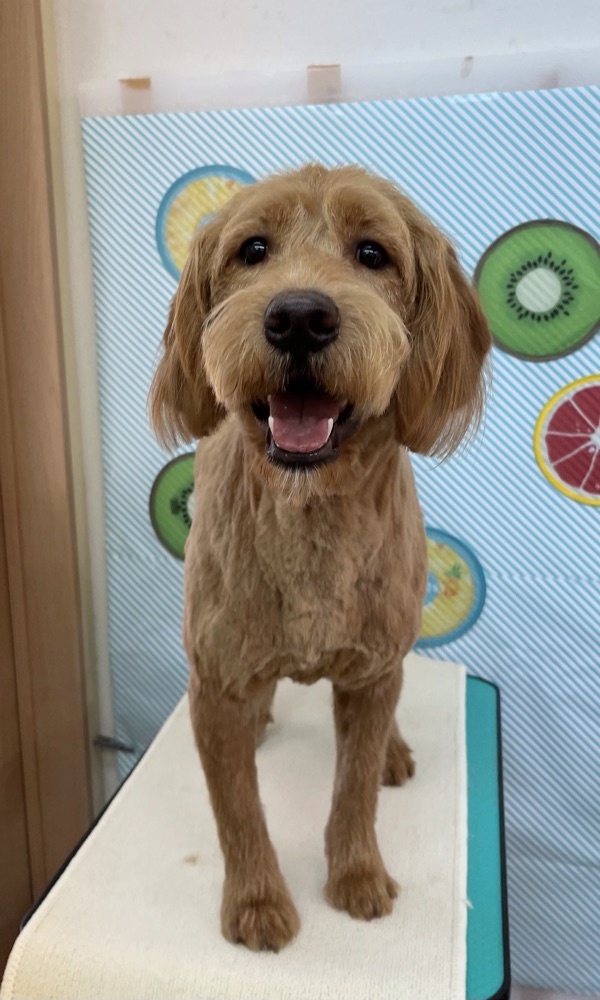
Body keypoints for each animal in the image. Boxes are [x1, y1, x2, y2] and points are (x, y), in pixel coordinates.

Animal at [150, 163, 490, 952]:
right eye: (252, 249)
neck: (310, 516)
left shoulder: (370, 674)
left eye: (373, 254)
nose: (300, 316)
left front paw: (357, 875)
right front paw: (255, 901)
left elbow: (355, 787)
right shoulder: (214, 683)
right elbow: (237, 809)